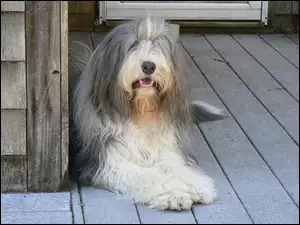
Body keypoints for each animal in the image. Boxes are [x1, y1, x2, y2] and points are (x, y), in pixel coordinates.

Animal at [70, 16, 225, 211]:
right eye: (133, 45)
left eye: (159, 45)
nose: (149, 65)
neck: (141, 112)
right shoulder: (107, 161)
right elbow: (147, 174)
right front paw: (173, 193)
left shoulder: (165, 148)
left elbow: (175, 166)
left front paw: (196, 185)